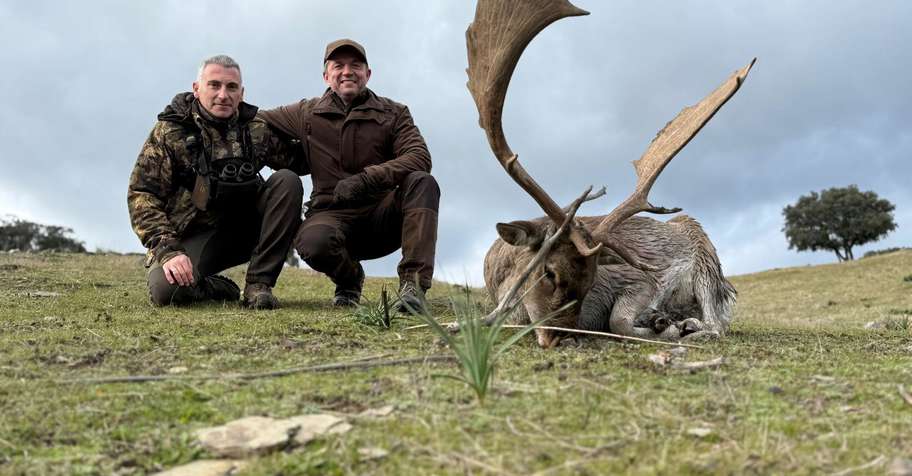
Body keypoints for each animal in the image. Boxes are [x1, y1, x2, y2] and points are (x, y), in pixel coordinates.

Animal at [465, 0, 752, 348]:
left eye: (591, 282)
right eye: (549, 273)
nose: (563, 338)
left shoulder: (638, 277)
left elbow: (619, 321)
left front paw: (663, 324)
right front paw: (660, 321)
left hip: (707, 267)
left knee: (716, 324)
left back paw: (686, 324)